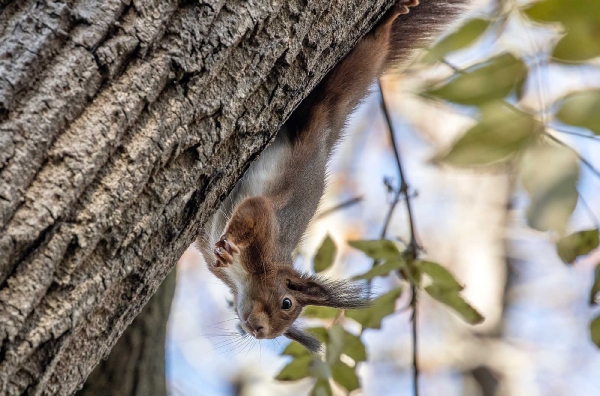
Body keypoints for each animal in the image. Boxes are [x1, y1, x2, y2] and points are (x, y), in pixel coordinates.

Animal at [197, 0, 468, 352]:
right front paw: (231, 245)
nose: (258, 331)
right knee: (369, 53)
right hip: (340, 88)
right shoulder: (268, 233)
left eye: (285, 327)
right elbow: (256, 210)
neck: (241, 277)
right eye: (287, 302)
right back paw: (391, 20)